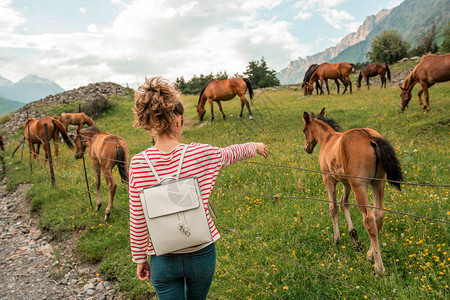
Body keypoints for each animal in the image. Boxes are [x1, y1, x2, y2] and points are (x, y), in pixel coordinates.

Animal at [300, 108, 402, 276]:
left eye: (304, 130)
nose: (306, 148)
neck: (327, 139)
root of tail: (370, 137)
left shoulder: (329, 180)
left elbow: (333, 207)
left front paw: (337, 239)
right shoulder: (346, 182)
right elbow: (344, 203)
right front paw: (354, 237)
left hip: (359, 186)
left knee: (369, 219)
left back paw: (378, 267)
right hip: (378, 183)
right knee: (378, 214)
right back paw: (370, 254)